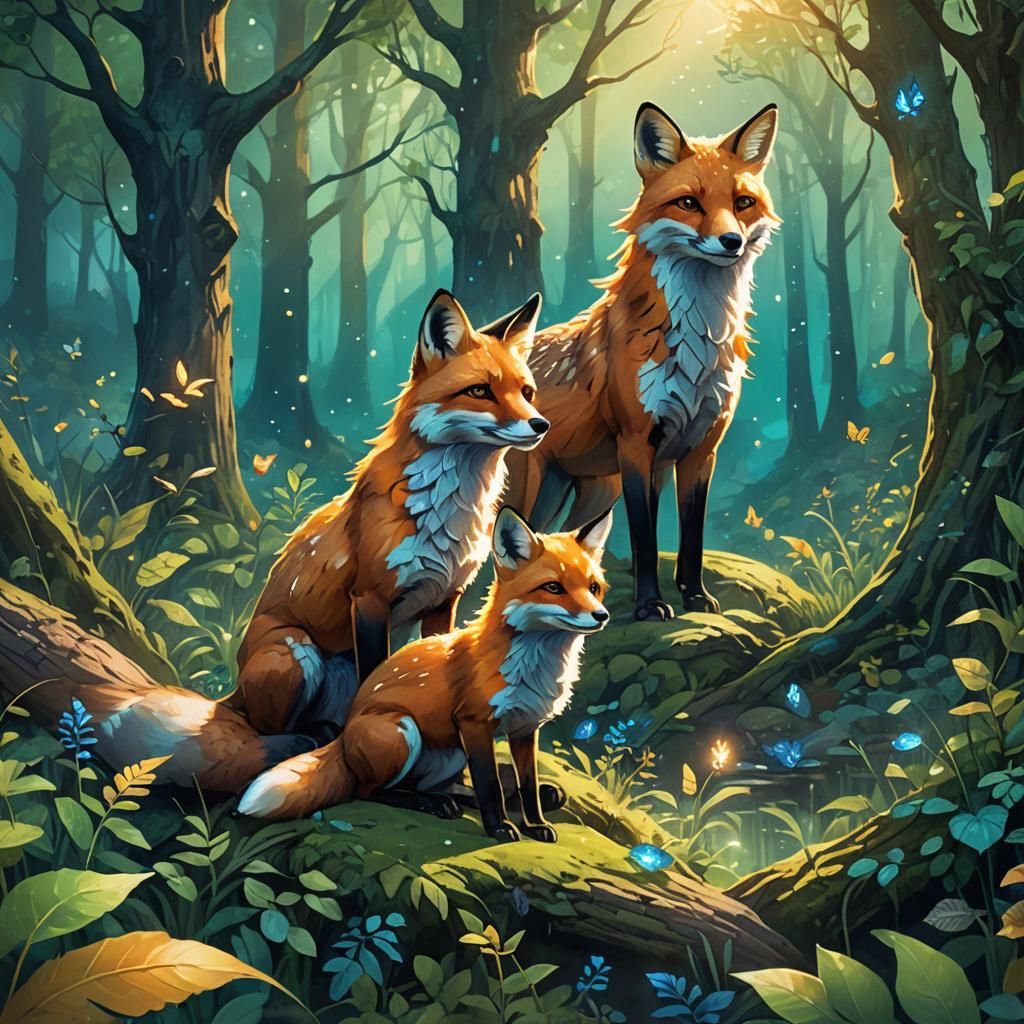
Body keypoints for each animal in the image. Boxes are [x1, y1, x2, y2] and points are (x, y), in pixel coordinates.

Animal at [233, 289, 549, 740]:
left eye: (526, 392)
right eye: (480, 391)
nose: (541, 425)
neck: (444, 511)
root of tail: (236, 684)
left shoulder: (443, 599)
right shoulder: (369, 598)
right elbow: (372, 676)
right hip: (297, 651)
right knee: (265, 728)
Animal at [236, 507, 613, 841]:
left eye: (594, 587)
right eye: (553, 588)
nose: (602, 616)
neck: (533, 667)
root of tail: (343, 738)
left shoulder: (525, 729)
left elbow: (528, 786)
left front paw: (535, 825)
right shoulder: (473, 723)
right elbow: (489, 783)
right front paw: (500, 828)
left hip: (449, 754)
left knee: (446, 786)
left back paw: (450, 800)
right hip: (401, 731)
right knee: (367, 790)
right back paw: (428, 803)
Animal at [506, 101, 780, 622]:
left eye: (742, 203)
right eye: (689, 203)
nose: (731, 242)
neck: (697, 348)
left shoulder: (700, 449)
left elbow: (692, 537)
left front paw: (695, 597)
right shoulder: (638, 445)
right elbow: (646, 538)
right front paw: (651, 604)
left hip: (591, 490)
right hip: (528, 491)